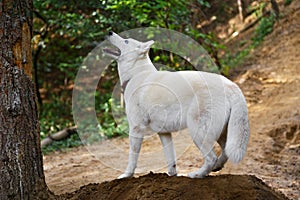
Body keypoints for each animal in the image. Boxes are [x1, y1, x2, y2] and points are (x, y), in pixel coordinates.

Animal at [104, 31, 250, 178]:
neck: (135, 76)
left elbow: (132, 159)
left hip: (197, 132)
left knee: (211, 158)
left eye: (126, 41)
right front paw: (172, 175)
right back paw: (216, 167)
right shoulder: (164, 133)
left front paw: (126, 175)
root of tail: (232, 86)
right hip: (220, 133)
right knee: (224, 152)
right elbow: (171, 160)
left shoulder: (136, 129)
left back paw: (197, 174)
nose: (109, 32)